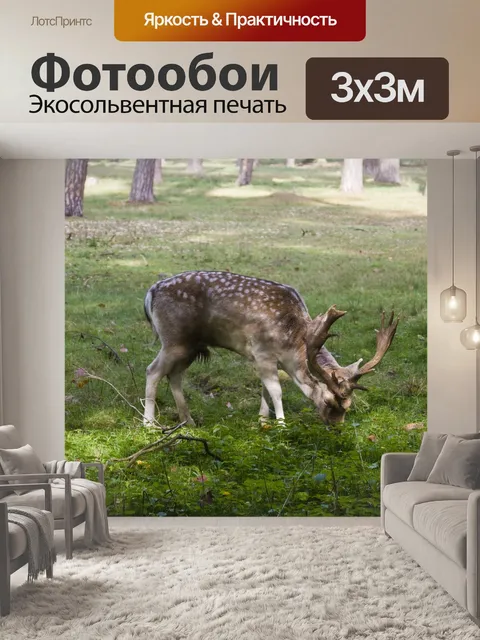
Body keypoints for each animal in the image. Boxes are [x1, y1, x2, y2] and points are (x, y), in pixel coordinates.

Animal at [143, 270, 398, 426]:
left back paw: (189, 421)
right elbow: (276, 390)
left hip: (190, 346)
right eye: (328, 402)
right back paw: (149, 424)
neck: (292, 345)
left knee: (174, 375)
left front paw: (263, 421)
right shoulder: (262, 351)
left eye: (348, 406)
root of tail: (150, 292)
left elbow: (265, 388)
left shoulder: (262, 359)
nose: (336, 426)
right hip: (173, 340)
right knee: (152, 370)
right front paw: (281, 425)